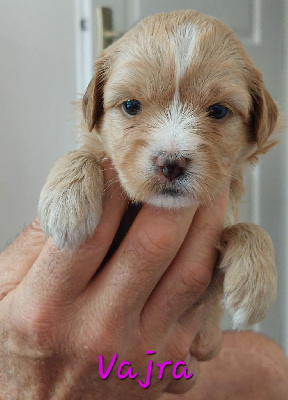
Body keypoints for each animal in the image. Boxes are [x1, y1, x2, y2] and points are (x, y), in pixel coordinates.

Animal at [38, 10, 280, 332]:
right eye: (131, 105)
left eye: (218, 111)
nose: (171, 164)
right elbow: (82, 153)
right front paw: (65, 205)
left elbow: (247, 227)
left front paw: (256, 283)